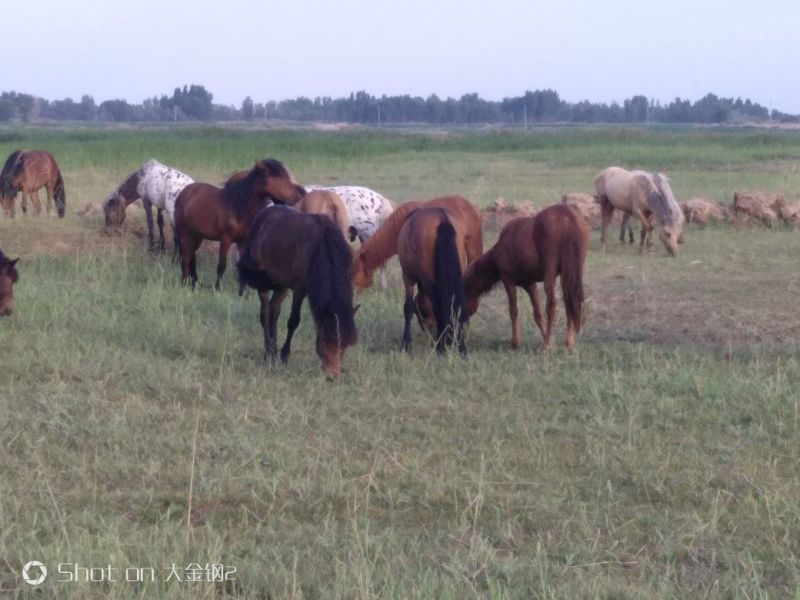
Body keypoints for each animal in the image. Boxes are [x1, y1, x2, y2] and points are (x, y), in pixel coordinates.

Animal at [173, 159, 305, 290]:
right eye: (277, 177)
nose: (299, 196)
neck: (239, 208)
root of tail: (184, 192)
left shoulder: (243, 242)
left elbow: (242, 267)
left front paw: (242, 291)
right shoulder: (226, 240)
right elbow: (221, 266)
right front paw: (217, 289)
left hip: (196, 236)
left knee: (191, 256)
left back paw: (192, 282)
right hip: (185, 233)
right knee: (185, 258)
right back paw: (184, 283)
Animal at [237, 205, 358, 379]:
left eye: (346, 345)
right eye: (326, 340)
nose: (333, 375)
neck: (320, 246)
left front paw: (280, 354)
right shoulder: (300, 288)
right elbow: (293, 321)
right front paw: (285, 355)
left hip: (281, 284)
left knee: (274, 311)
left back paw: (273, 350)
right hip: (262, 279)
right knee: (265, 312)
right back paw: (268, 353)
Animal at [396, 206, 469, 355]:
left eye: (420, 313)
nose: (427, 329)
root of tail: (442, 219)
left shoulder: (408, 277)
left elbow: (408, 307)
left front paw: (406, 343)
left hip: (427, 278)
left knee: (437, 305)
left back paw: (441, 347)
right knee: (457, 305)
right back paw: (460, 347)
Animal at [463, 204, 589, 352]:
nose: (462, 320)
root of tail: (567, 215)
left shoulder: (508, 279)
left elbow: (513, 311)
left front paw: (515, 343)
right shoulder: (530, 284)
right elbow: (537, 314)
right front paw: (549, 339)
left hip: (550, 271)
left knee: (552, 303)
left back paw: (546, 345)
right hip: (570, 271)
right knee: (570, 301)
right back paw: (568, 343)